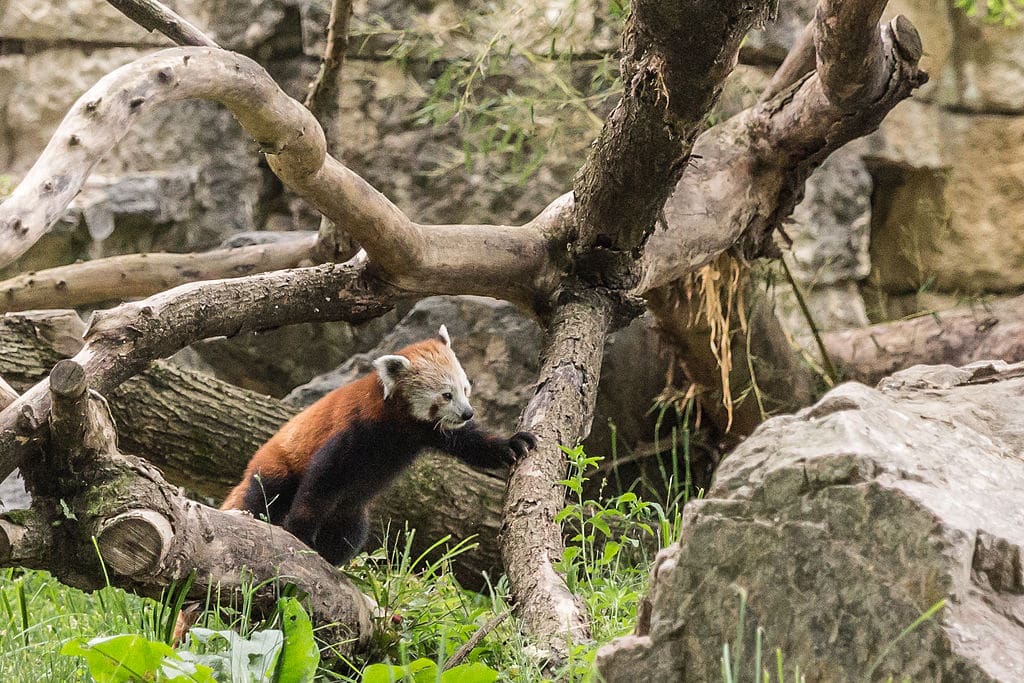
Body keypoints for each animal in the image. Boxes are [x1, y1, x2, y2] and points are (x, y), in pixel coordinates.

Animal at [217, 325, 536, 565]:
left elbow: (471, 443)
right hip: (275, 469)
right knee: (263, 497)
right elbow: (321, 481)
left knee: (350, 536)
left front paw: (511, 444)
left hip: (351, 514)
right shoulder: (354, 430)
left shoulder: (429, 431)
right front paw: (299, 531)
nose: (468, 413)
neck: (398, 423)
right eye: (446, 394)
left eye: (465, 389)